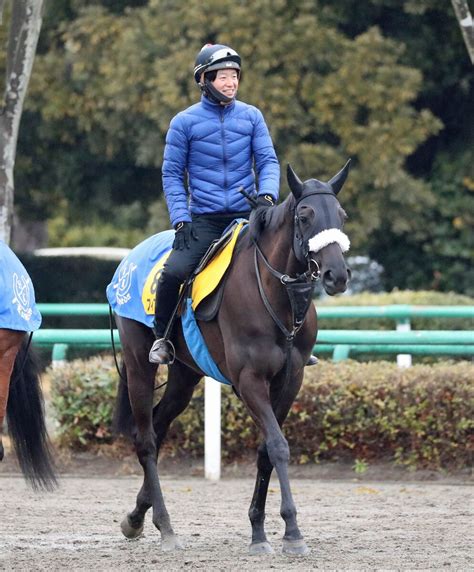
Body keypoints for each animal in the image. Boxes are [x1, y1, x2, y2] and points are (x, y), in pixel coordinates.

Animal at [113, 161, 352, 556]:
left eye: (342, 215)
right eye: (305, 216)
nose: (337, 275)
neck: (276, 297)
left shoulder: (289, 381)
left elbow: (267, 449)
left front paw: (260, 529)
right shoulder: (249, 380)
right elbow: (278, 445)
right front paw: (292, 530)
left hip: (185, 375)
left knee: (159, 426)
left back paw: (137, 515)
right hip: (137, 362)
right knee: (145, 438)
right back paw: (165, 526)